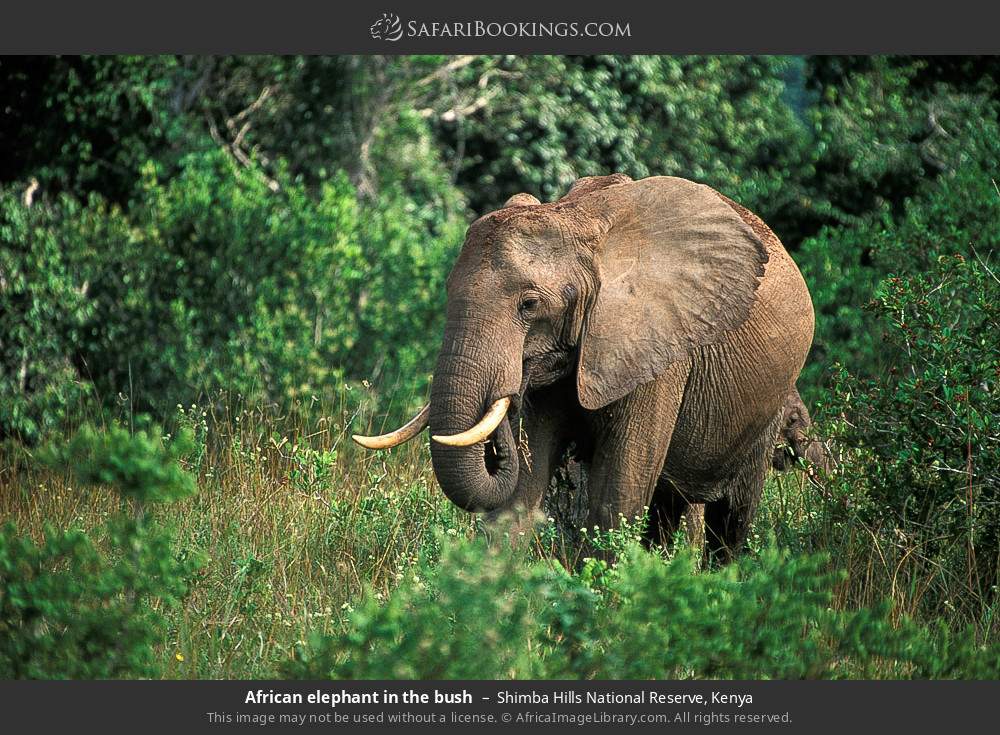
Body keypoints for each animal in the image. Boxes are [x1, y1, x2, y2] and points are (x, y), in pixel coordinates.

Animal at [354, 174, 815, 562]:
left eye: (529, 305)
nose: (507, 395)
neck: (578, 220)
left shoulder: (655, 346)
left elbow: (618, 501)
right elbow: (518, 498)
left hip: (769, 403)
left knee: (731, 518)